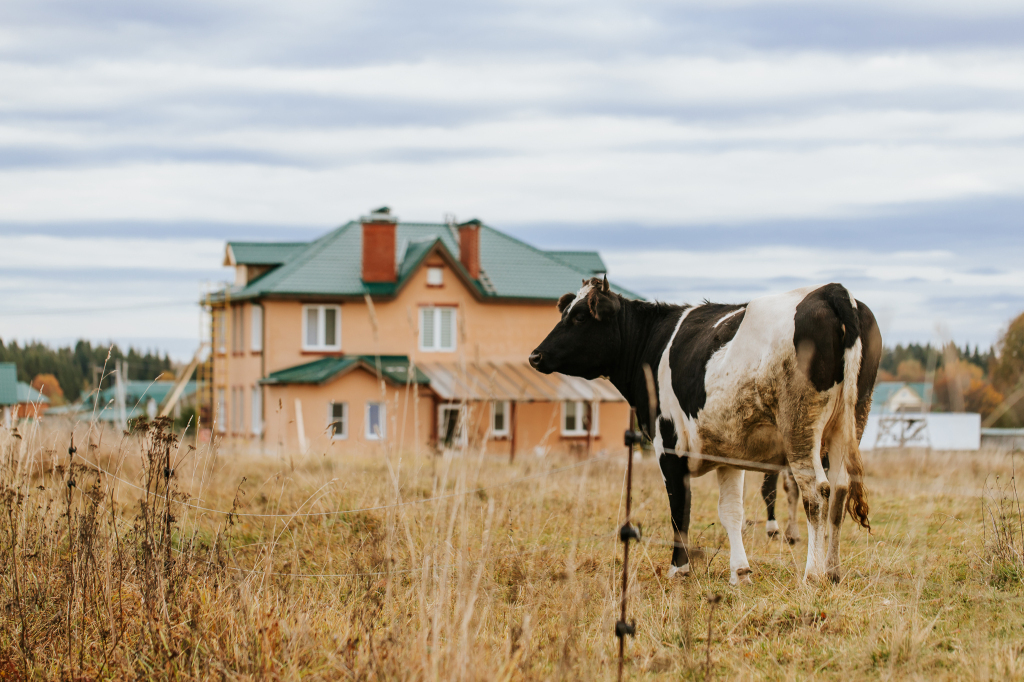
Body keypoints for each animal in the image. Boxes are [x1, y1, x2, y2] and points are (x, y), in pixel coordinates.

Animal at [528, 278, 880, 581]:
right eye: (565, 312)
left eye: (579, 317)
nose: (535, 355)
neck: (652, 344)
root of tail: (830, 290)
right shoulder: (729, 451)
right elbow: (731, 512)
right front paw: (740, 572)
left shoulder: (669, 446)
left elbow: (679, 508)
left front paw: (679, 569)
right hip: (850, 423)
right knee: (840, 490)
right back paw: (833, 571)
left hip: (800, 427)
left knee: (817, 493)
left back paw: (813, 574)